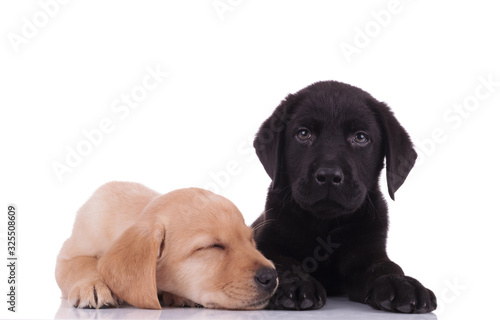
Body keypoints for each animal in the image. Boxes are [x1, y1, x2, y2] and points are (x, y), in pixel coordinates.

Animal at [57, 182, 282, 310]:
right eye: (212, 246)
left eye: (251, 241)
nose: (271, 277)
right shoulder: (68, 254)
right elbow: (80, 264)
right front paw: (92, 285)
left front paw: (176, 294)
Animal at [252, 80, 436, 312]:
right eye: (303, 134)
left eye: (360, 137)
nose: (329, 175)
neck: (324, 224)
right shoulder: (265, 241)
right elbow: (280, 261)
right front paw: (296, 282)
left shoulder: (368, 252)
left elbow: (385, 266)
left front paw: (402, 283)